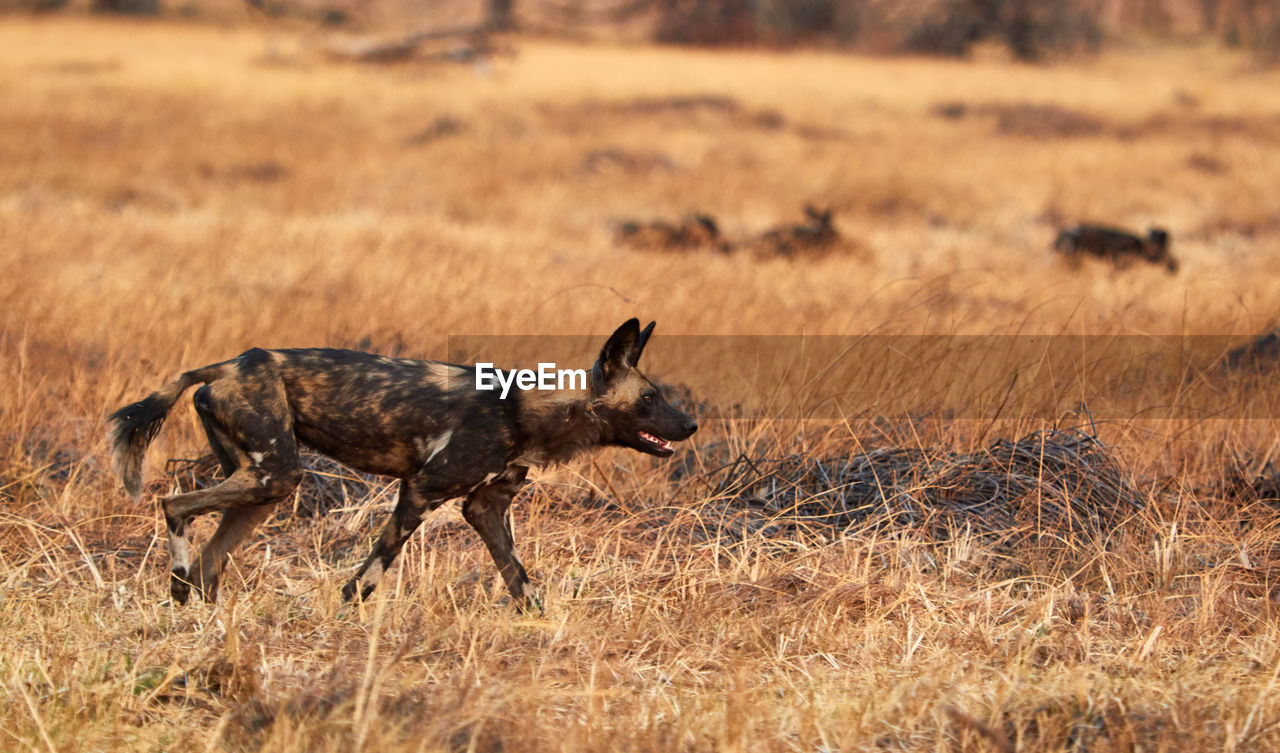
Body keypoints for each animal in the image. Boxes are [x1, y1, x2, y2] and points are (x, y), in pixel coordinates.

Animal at [108, 317, 701, 607]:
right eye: (650, 399)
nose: (693, 425)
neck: (531, 409)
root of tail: (227, 364)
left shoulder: (485, 509)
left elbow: (522, 584)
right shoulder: (420, 490)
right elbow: (367, 578)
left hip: (264, 487)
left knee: (211, 561)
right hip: (275, 475)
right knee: (175, 505)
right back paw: (177, 584)